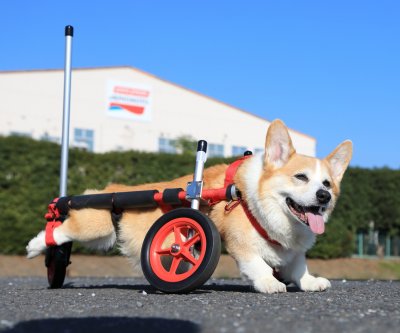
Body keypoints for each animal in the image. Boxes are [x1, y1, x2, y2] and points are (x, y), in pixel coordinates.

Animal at [27, 119, 354, 294]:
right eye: (301, 177)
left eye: (327, 184)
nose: (323, 198)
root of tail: (108, 190)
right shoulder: (240, 243)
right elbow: (256, 263)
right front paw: (267, 282)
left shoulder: (293, 251)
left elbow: (298, 266)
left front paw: (309, 282)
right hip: (95, 226)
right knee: (61, 229)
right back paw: (37, 243)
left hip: (103, 235)